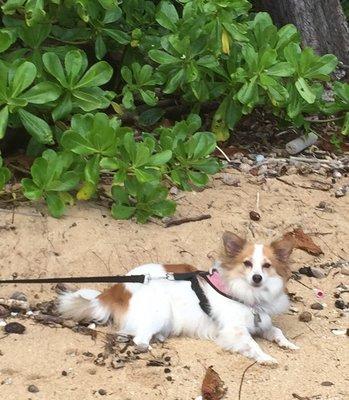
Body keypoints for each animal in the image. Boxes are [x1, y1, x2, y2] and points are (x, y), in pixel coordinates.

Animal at [58, 231, 298, 366]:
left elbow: (277, 331)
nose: (257, 277)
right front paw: (265, 358)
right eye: (247, 264)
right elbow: (252, 345)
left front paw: (287, 343)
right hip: (161, 310)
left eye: (266, 266)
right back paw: (150, 349)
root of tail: (116, 289)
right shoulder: (234, 330)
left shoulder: (261, 322)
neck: (249, 294)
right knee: (139, 339)